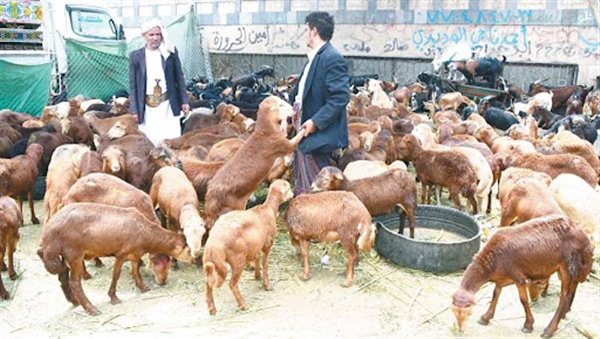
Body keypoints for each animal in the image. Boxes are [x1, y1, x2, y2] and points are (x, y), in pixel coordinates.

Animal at [37, 202, 195, 316]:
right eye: (188, 250)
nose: (194, 259)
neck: (145, 233)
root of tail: (49, 231)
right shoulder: (121, 254)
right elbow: (116, 275)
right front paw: (113, 297)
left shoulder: (134, 254)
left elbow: (135, 271)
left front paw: (143, 287)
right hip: (74, 254)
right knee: (75, 282)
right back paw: (91, 308)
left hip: (63, 255)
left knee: (63, 276)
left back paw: (74, 301)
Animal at [203, 96, 304, 231]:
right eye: (281, 105)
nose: (294, 109)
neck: (265, 132)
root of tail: (211, 197)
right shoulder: (282, 144)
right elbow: (295, 141)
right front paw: (305, 128)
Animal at [203, 181, 294, 316]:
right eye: (288, 188)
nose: (293, 194)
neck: (268, 209)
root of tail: (215, 241)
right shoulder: (267, 243)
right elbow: (265, 264)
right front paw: (266, 285)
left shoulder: (255, 244)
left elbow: (256, 258)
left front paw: (257, 275)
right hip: (237, 259)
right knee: (232, 284)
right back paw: (243, 305)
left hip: (211, 261)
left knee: (208, 282)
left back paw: (212, 308)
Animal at [450, 216, 596, 338]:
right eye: (453, 312)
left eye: (469, 313)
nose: (460, 330)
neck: (490, 262)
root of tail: (585, 236)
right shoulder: (502, 276)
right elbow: (495, 294)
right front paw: (486, 317)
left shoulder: (518, 277)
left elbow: (523, 300)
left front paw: (528, 325)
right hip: (574, 268)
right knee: (572, 289)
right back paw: (565, 313)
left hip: (568, 266)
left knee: (564, 296)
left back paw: (549, 329)